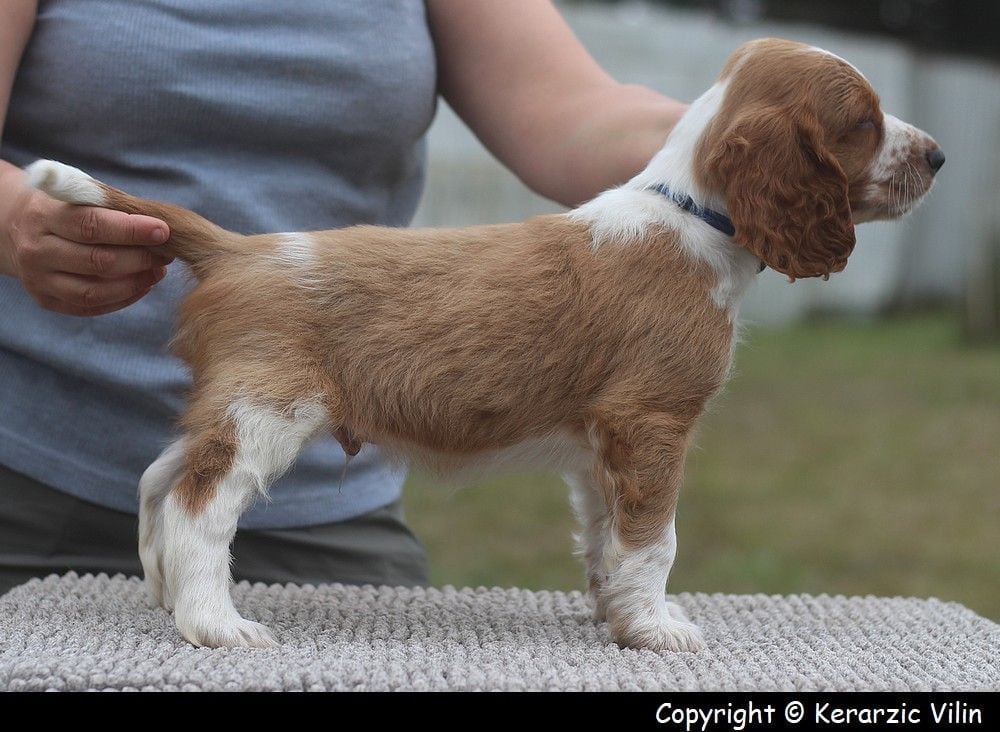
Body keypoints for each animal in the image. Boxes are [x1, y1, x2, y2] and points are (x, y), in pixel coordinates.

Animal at [25, 37, 944, 648]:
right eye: (862, 123)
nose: (937, 155)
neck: (692, 214)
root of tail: (239, 248)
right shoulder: (651, 424)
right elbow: (656, 537)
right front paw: (657, 631)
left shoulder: (599, 447)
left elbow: (607, 535)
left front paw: (617, 614)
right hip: (268, 410)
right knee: (199, 502)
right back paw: (216, 623)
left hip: (236, 403)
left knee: (160, 475)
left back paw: (163, 594)